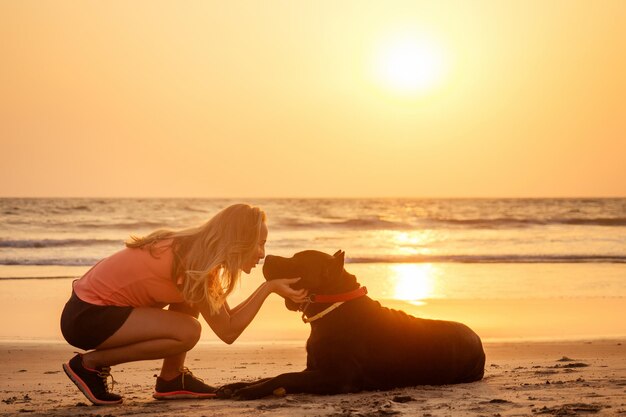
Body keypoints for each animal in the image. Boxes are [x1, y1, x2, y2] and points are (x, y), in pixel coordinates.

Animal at [217, 249, 486, 398]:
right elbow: (273, 376)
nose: (268, 256)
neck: (331, 311)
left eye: (297, 260)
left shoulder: (339, 376)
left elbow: (284, 376)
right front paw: (236, 385)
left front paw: (249, 391)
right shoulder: (314, 368)